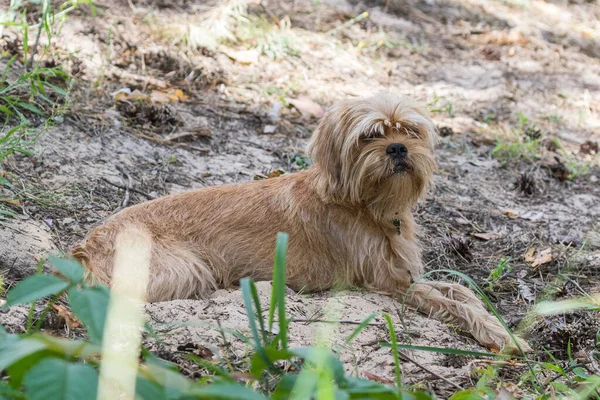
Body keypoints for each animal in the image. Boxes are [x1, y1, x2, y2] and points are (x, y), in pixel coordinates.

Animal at [74, 93, 528, 354]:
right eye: (370, 136)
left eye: (410, 130)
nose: (398, 148)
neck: (364, 204)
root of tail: (87, 245)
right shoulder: (392, 286)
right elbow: (454, 303)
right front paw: (503, 337)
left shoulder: (408, 276)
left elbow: (460, 291)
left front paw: (498, 321)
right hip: (187, 269)